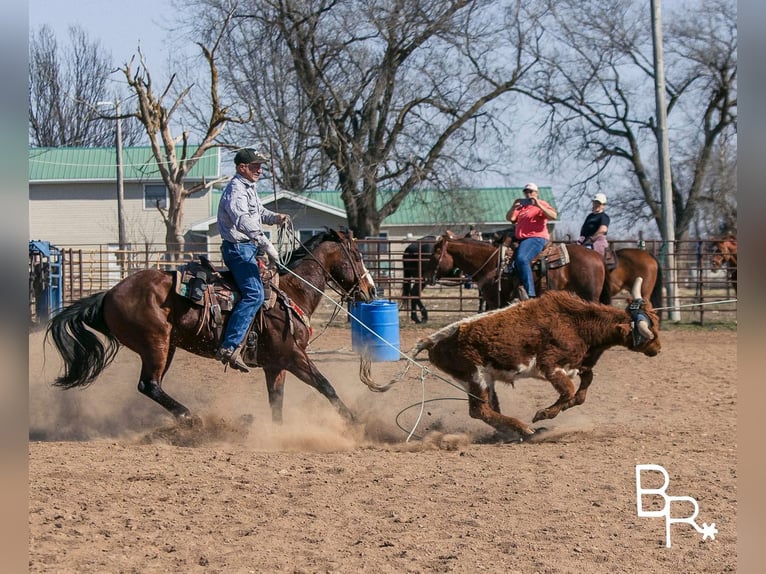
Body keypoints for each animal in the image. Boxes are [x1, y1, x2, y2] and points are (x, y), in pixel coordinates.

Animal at [45, 231, 378, 428]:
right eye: (357, 255)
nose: (371, 290)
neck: (291, 292)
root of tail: (109, 294)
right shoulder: (292, 355)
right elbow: (325, 385)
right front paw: (354, 422)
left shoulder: (276, 364)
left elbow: (277, 401)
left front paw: (277, 433)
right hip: (156, 344)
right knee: (148, 385)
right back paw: (192, 418)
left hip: (167, 346)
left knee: (151, 385)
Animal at [424, 232, 608, 310]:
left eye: (434, 256)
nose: (427, 277)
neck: (492, 263)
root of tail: (597, 256)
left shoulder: (496, 300)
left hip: (589, 296)